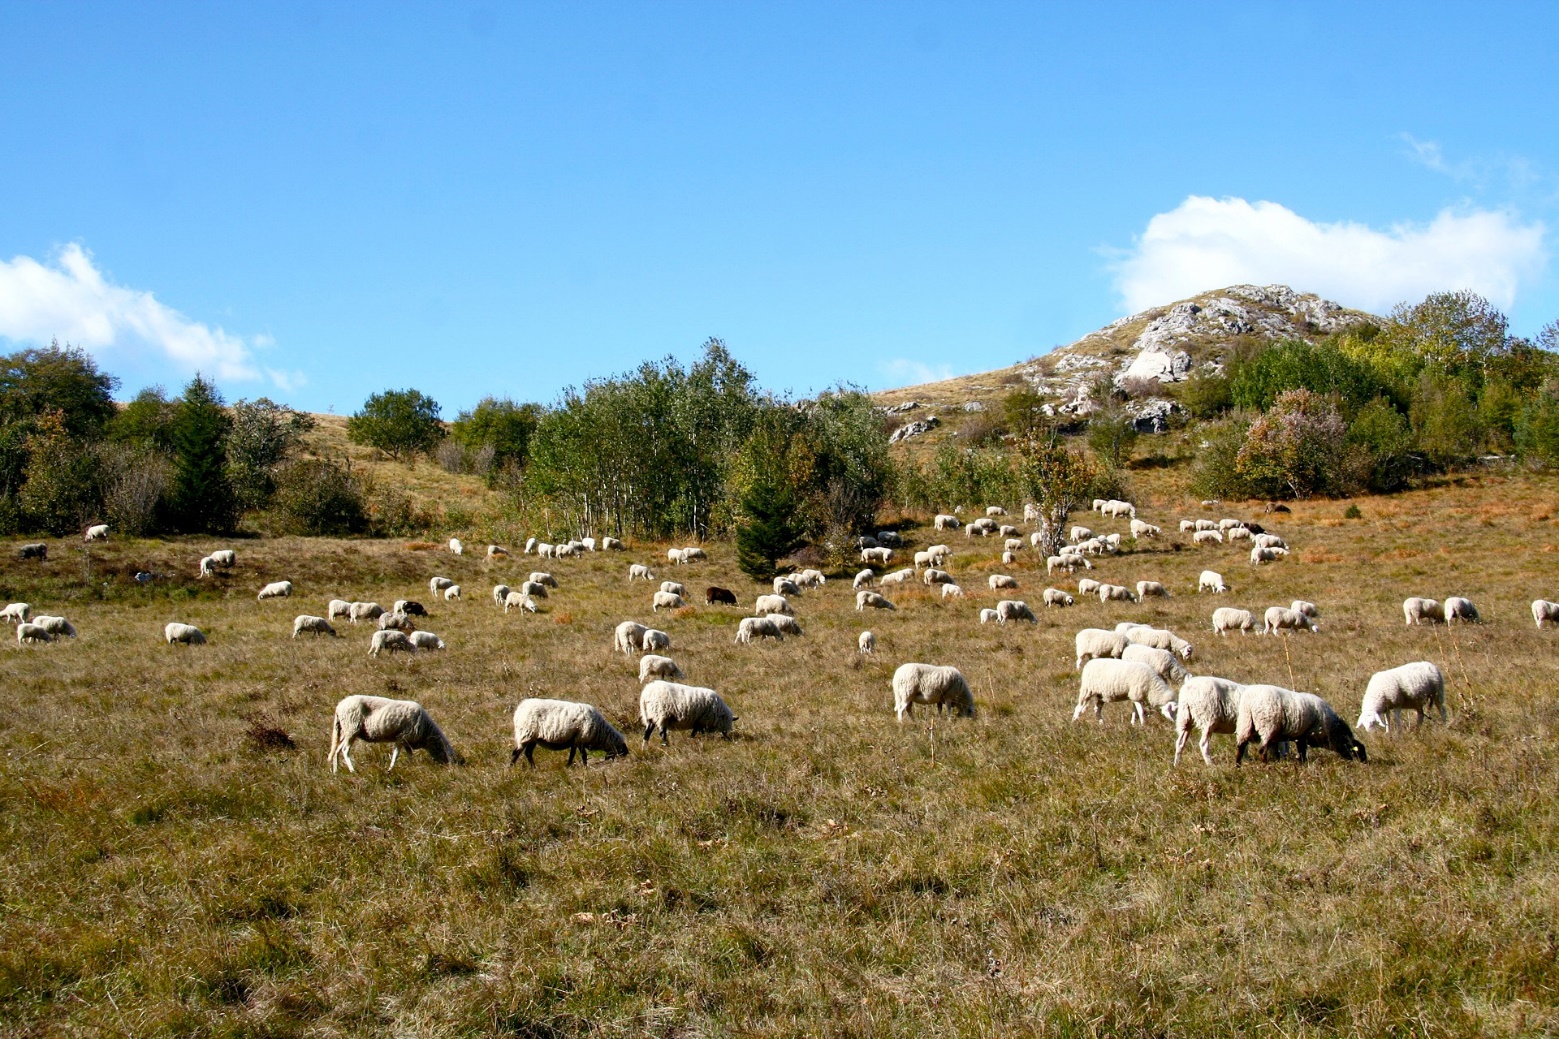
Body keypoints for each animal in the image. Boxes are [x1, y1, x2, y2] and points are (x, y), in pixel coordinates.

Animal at [327, 695, 455, 767]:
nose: (448, 769)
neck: (427, 731)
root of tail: (339, 707)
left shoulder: (406, 741)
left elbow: (409, 755)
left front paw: (411, 766)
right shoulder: (402, 737)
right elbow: (396, 755)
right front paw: (391, 769)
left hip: (346, 731)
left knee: (337, 751)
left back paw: (336, 773)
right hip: (352, 728)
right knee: (345, 750)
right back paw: (353, 770)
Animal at [1228, 686, 1365, 761]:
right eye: (1358, 751)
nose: (1363, 763)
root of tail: (1250, 702)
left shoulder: (1300, 736)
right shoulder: (1304, 735)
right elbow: (1302, 753)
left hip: (1245, 724)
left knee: (1240, 748)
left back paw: (1238, 767)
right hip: (1267, 726)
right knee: (1262, 750)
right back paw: (1265, 766)